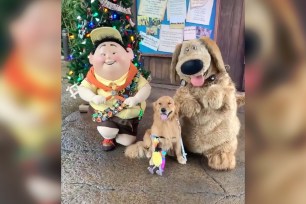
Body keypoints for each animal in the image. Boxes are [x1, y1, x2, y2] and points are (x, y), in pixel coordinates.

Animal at [171, 37, 243, 171]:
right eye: (185, 50)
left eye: (195, 48)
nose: (189, 65)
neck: (202, 85)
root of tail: (201, 151)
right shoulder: (183, 89)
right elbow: (180, 97)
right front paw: (192, 106)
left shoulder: (228, 89)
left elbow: (222, 90)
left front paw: (211, 98)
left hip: (227, 140)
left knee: (224, 148)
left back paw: (221, 158)